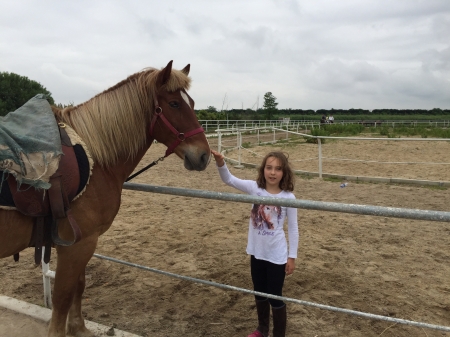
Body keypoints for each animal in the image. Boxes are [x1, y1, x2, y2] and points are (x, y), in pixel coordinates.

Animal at [0, 61, 211, 336]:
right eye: (175, 104)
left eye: (192, 102)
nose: (204, 156)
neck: (96, 159)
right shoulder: (78, 245)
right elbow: (62, 298)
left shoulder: (81, 244)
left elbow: (79, 287)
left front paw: (79, 328)